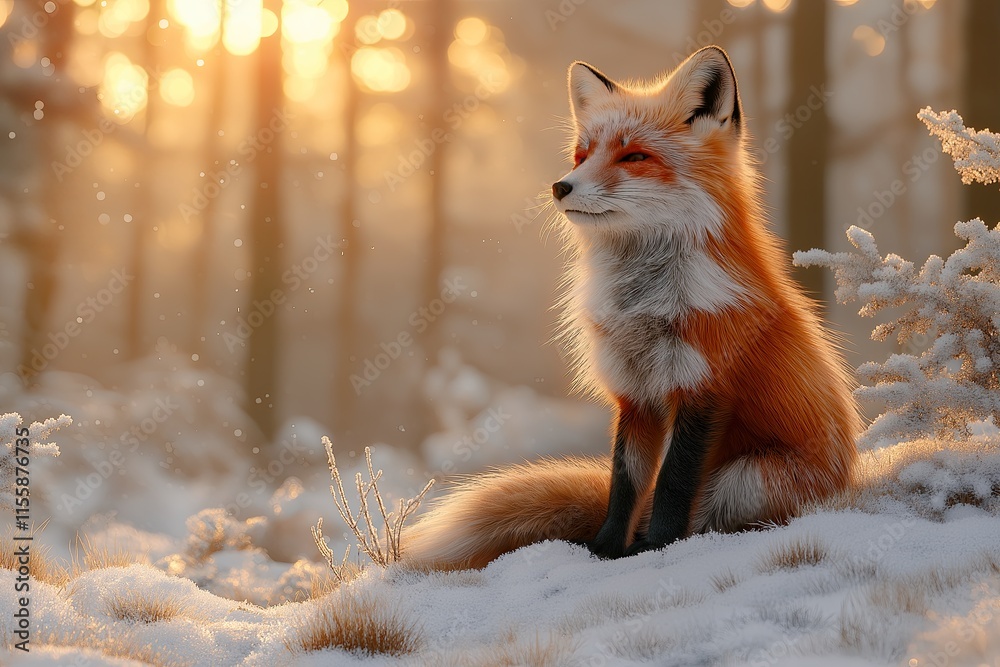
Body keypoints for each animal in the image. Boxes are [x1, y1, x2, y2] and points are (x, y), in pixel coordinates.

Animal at [402, 46, 860, 569]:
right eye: (581, 156)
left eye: (635, 156)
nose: (560, 186)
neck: (643, 305)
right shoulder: (633, 393)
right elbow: (625, 485)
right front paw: (604, 551)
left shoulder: (703, 386)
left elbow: (672, 484)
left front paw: (657, 547)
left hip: (744, 478)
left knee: (716, 513)